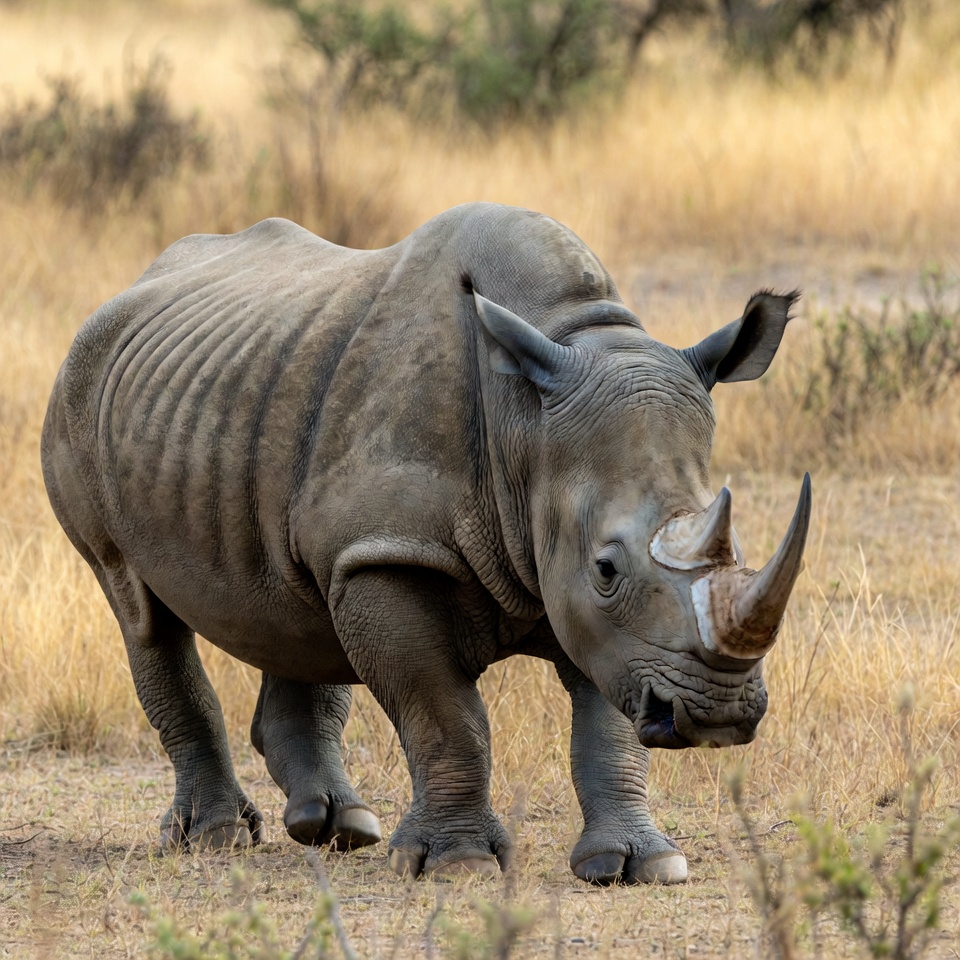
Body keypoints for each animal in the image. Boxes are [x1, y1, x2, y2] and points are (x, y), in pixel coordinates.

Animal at [41, 203, 810, 884]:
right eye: (606, 568)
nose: (719, 714)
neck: (525, 426)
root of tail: (133, 285)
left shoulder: (598, 620)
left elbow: (609, 721)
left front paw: (640, 866)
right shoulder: (393, 551)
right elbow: (447, 717)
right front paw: (458, 865)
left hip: (248, 392)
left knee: (299, 603)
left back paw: (337, 828)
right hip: (79, 390)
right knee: (139, 608)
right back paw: (217, 838)